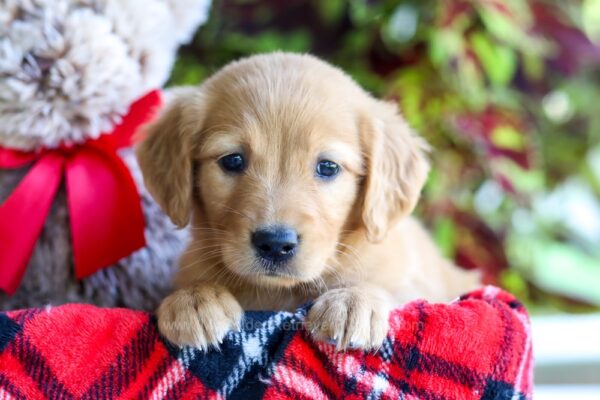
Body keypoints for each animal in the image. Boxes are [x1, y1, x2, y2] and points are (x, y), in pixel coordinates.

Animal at [136, 52, 478, 350]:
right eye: (232, 160)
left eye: (327, 167)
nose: (275, 243)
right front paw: (194, 299)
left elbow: (394, 290)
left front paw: (353, 300)